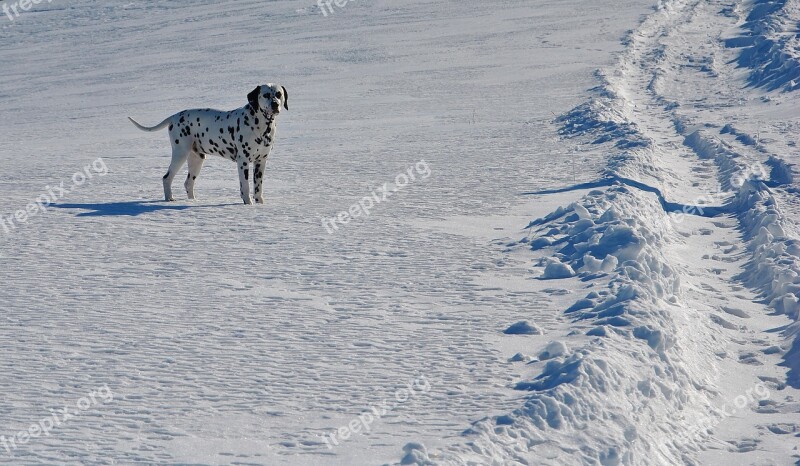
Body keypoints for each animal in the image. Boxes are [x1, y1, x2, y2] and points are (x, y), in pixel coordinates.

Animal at [126, 83, 286, 204]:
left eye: (278, 94)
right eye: (265, 95)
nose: (275, 104)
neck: (261, 126)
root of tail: (174, 116)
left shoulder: (261, 162)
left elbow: (258, 187)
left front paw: (259, 204)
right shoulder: (243, 162)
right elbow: (245, 187)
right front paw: (248, 204)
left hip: (197, 160)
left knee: (188, 183)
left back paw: (193, 201)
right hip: (180, 154)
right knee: (167, 178)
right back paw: (169, 199)